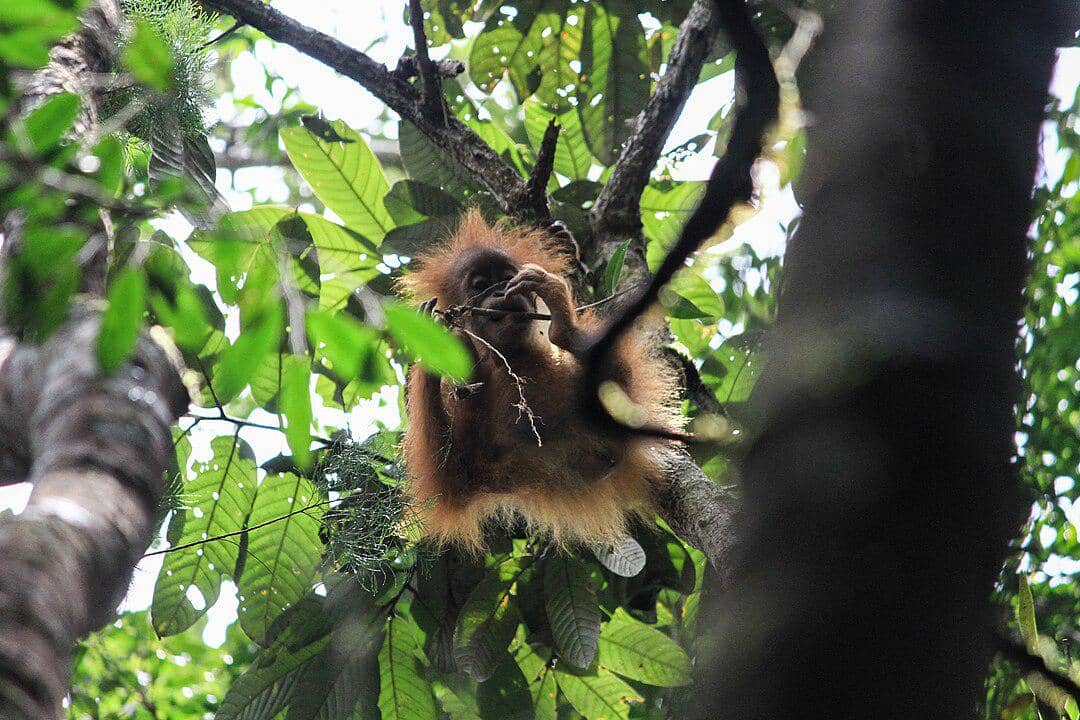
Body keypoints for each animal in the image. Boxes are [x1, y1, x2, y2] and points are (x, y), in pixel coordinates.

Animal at [399, 209, 683, 552]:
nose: (500, 291)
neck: (515, 356)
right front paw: (431, 337)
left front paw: (558, 302)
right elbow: (454, 479)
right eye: (481, 285)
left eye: (505, 278)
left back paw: (563, 325)